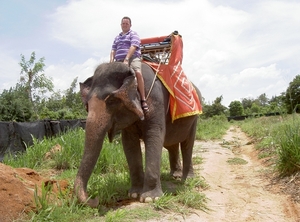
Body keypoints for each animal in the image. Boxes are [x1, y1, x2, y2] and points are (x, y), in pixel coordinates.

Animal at [74, 61, 202, 207]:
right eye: (87, 106)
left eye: (111, 101)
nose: (95, 199)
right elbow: (129, 143)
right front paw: (134, 194)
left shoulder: (156, 102)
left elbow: (153, 137)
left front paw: (150, 198)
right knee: (172, 145)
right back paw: (175, 176)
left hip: (194, 119)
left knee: (187, 145)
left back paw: (187, 180)